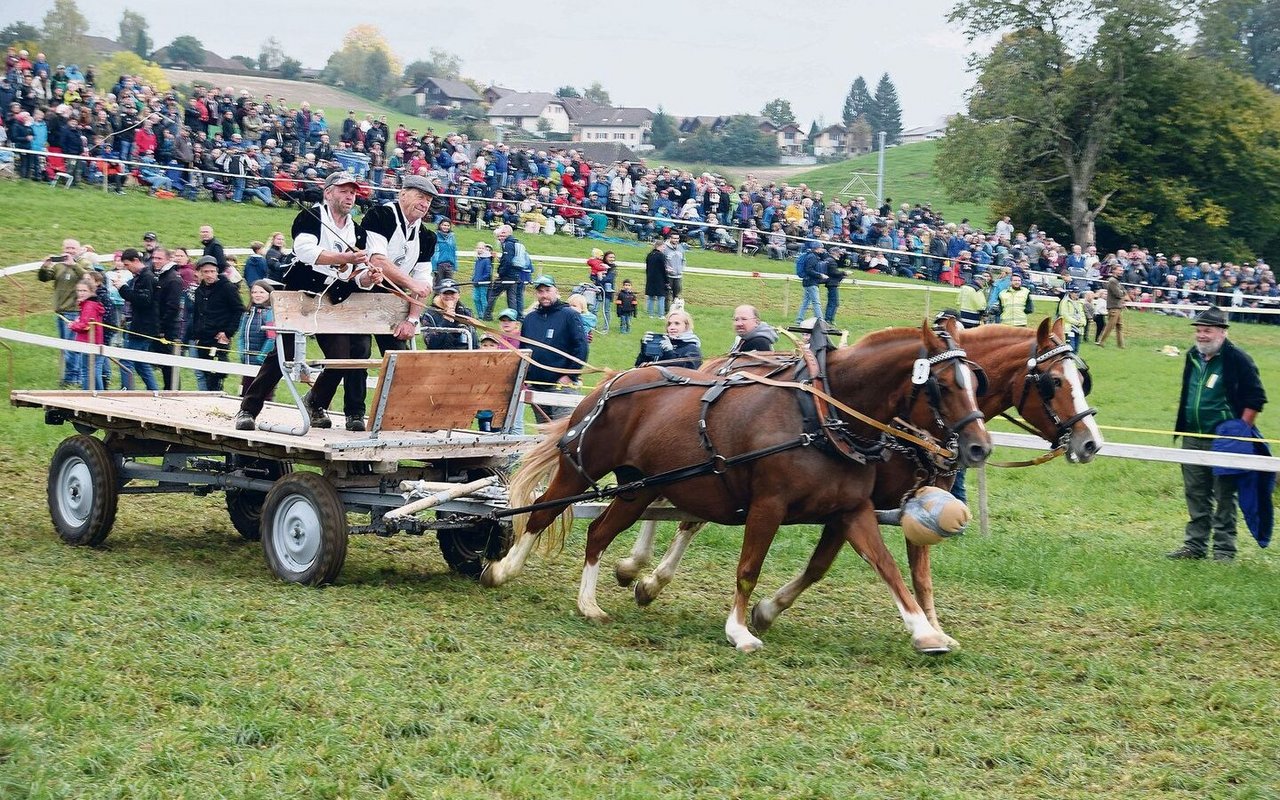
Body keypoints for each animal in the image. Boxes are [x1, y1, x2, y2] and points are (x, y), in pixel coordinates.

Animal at [483, 321, 993, 652]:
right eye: (944, 384)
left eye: (976, 381)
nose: (979, 447)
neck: (821, 418)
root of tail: (616, 378)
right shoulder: (768, 505)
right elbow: (749, 567)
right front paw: (740, 629)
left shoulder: (851, 509)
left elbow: (886, 566)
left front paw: (926, 633)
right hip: (582, 467)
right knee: (543, 512)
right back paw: (503, 570)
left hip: (638, 488)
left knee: (598, 533)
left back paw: (588, 603)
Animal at [614, 313, 1105, 650]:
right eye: (1053, 381)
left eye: (1083, 379)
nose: (1091, 443)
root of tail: (717, 361)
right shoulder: (852, 504)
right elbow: (825, 564)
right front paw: (765, 611)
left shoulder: (914, 504)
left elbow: (918, 576)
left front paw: (933, 628)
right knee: (675, 512)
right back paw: (640, 571)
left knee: (682, 512)